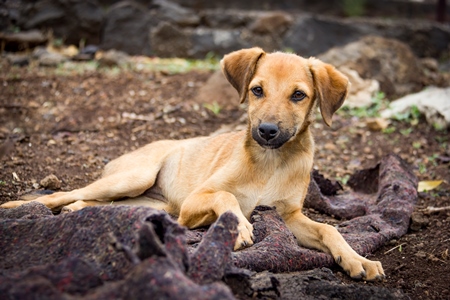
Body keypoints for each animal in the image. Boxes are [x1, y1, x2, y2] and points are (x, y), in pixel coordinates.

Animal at [0, 47, 384, 282]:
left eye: (299, 95)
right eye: (257, 90)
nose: (267, 131)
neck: (270, 160)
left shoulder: (289, 216)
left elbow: (330, 230)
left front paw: (357, 260)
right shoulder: (195, 200)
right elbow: (227, 198)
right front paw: (240, 227)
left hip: (152, 203)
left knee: (100, 204)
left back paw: (78, 211)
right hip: (136, 177)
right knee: (63, 194)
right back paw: (20, 207)